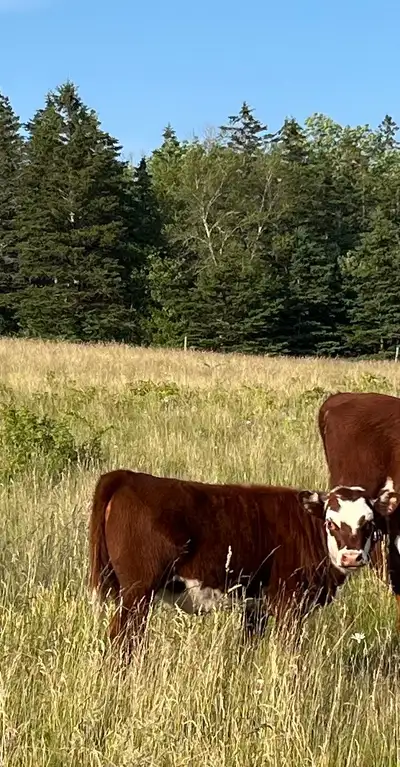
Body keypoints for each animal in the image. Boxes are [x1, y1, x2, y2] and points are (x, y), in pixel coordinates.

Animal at [89, 469, 378, 656]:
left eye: (369, 523)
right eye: (331, 523)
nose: (351, 556)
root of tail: (128, 476)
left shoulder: (255, 605)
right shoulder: (289, 603)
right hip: (137, 592)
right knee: (123, 638)